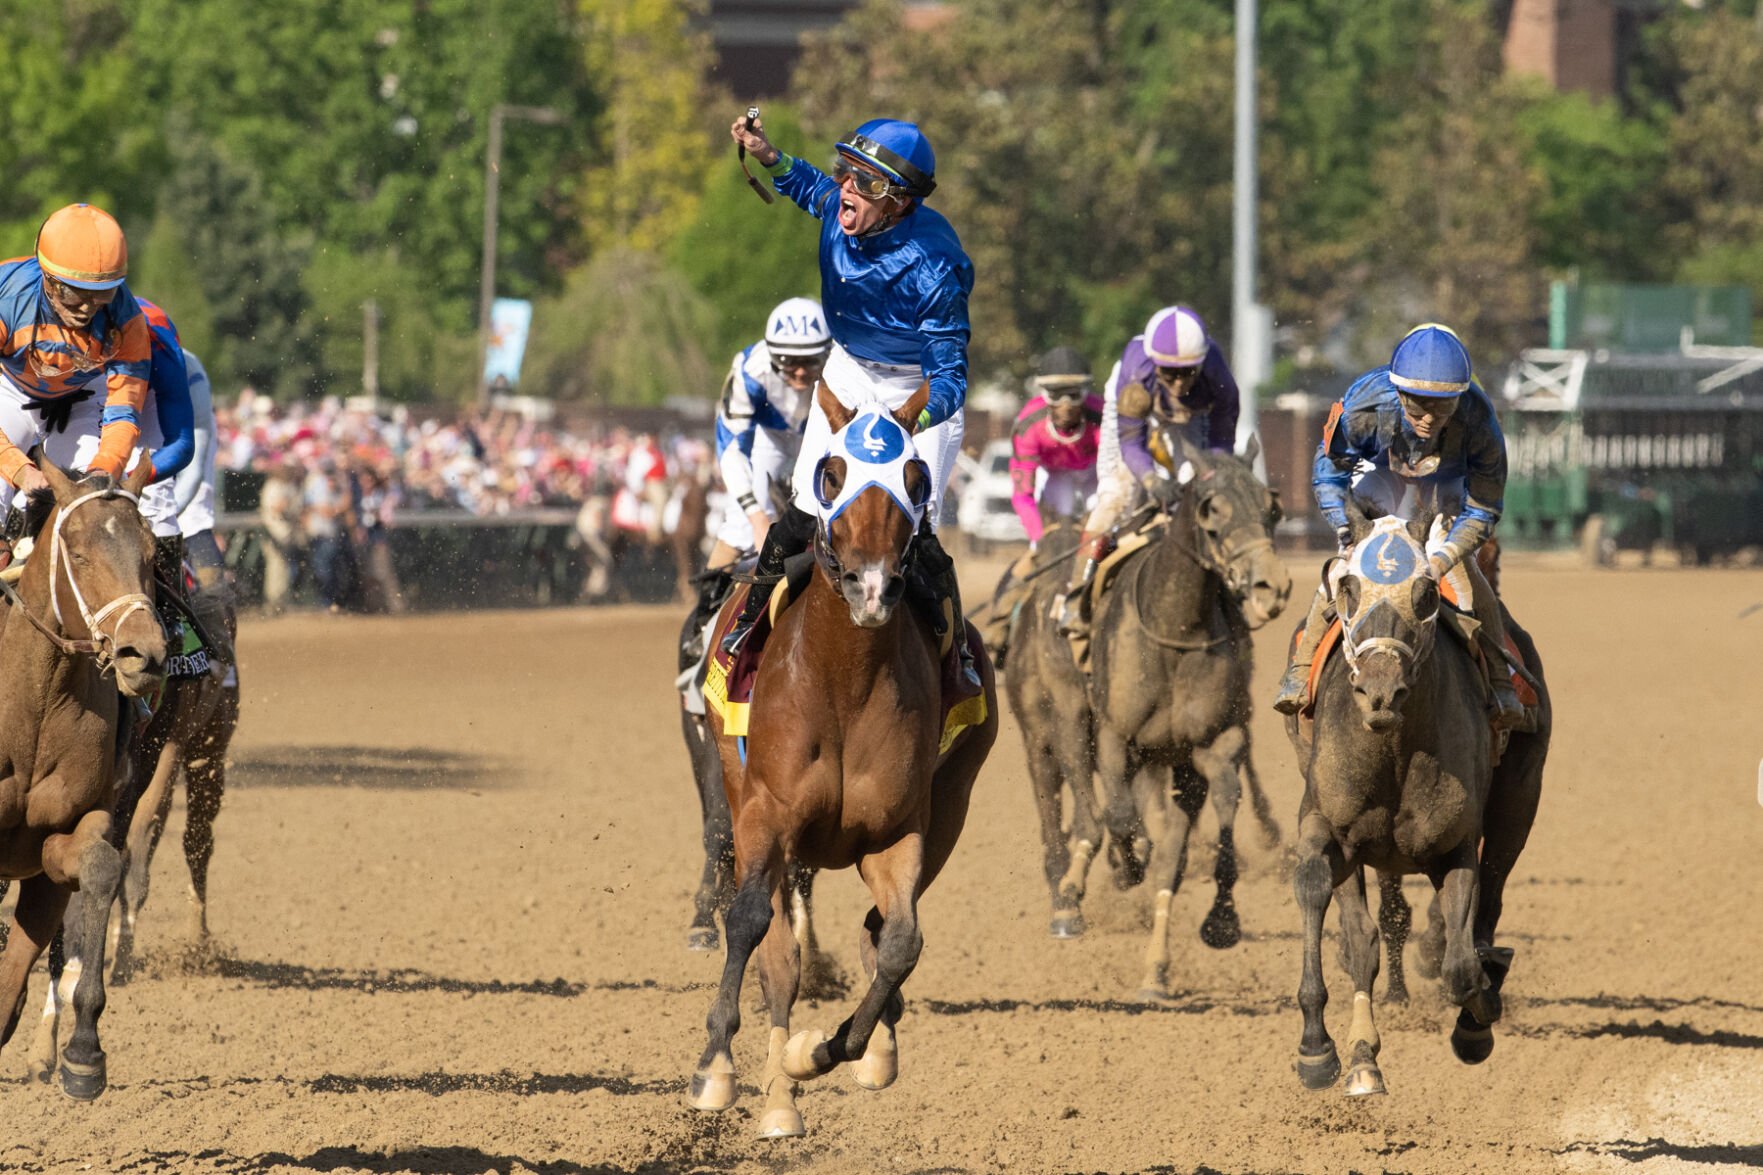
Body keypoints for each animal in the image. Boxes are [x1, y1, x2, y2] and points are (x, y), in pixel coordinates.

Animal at [0, 449, 165, 1100]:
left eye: (151, 553)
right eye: (78, 552)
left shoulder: (59, 842)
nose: (145, 654)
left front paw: (83, 1053)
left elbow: (100, 869)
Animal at [687, 384, 1001, 1136]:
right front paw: (719, 1068)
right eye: (830, 475)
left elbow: (902, 943)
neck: (842, 681)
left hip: (951, 808)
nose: (871, 586)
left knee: (880, 930)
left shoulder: (898, 829)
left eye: (916, 479)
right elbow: (752, 927)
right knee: (777, 953)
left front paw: (825, 1051)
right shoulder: (766, 814)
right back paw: (775, 1097)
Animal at [1078, 434, 1290, 995]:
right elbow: (1120, 815)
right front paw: (1124, 863)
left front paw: (1222, 921)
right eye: (1211, 510)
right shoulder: (1115, 735)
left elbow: (1224, 806)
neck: (1176, 628)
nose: (1272, 586)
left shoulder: (1215, 741)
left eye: (1272, 507)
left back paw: (1156, 967)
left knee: (1173, 854)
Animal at [1283, 504, 1558, 1100]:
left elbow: (1461, 964)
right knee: (1361, 937)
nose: (1380, 691)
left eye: (1428, 592)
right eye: (1347, 587)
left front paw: (1478, 1015)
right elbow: (1325, 899)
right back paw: (1363, 1055)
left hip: (1521, 795)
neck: (1391, 744)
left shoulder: (1454, 844)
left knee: (1489, 904)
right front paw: (1320, 1049)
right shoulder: (1331, 827)